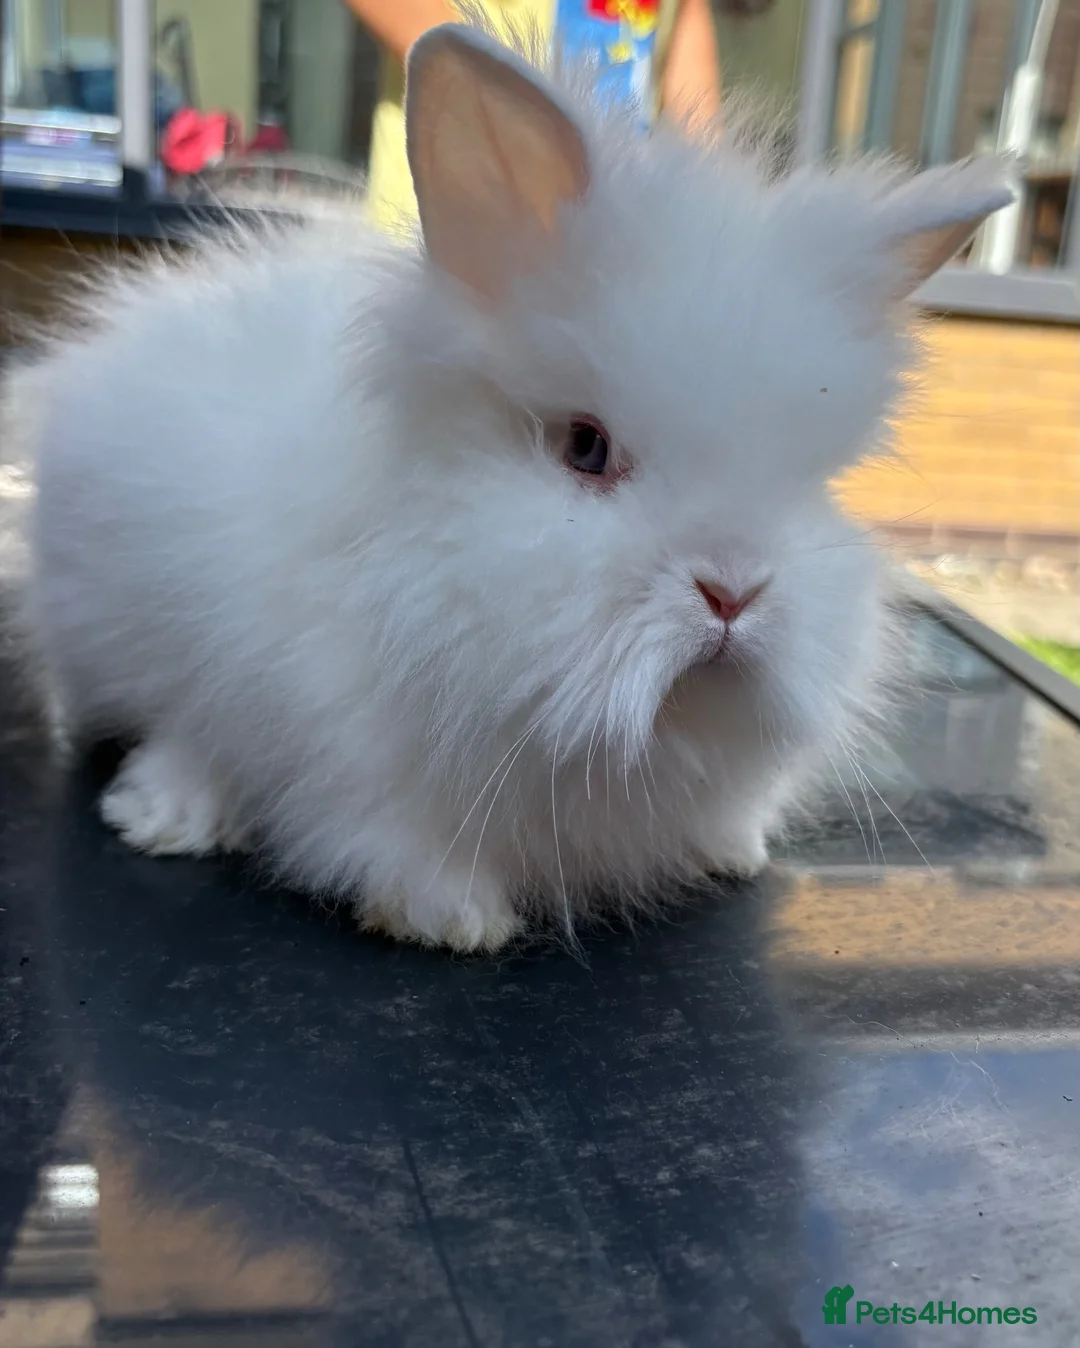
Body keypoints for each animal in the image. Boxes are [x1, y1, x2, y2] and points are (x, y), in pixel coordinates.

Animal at [11, 22, 1012, 952]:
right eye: (586, 448)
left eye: (810, 479)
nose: (734, 591)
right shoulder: (358, 772)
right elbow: (393, 843)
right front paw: (452, 918)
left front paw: (731, 850)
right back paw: (164, 815)